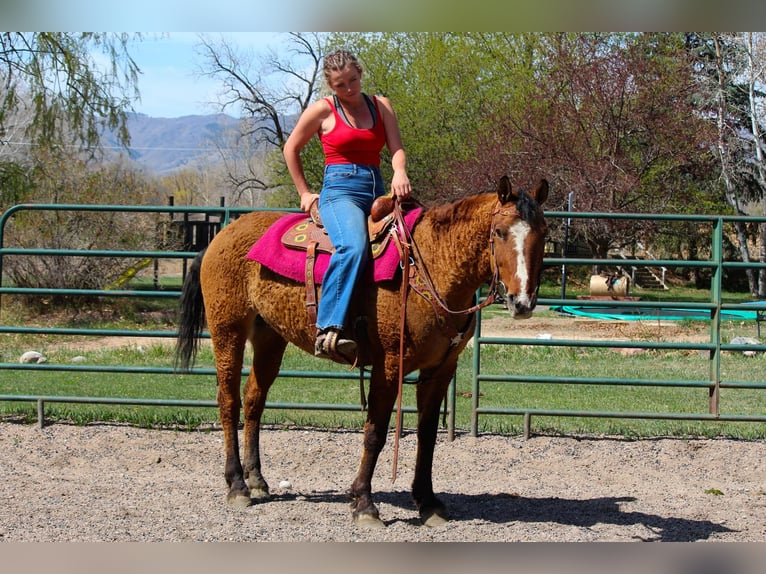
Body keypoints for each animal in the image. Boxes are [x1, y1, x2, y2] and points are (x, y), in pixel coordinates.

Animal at [175, 175, 549, 528]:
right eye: (499, 232)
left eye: (543, 233)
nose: (522, 303)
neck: (432, 263)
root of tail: (220, 236)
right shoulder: (389, 365)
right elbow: (375, 434)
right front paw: (365, 504)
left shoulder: (440, 370)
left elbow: (427, 435)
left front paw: (427, 502)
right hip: (228, 331)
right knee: (229, 401)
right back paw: (237, 485)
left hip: (270, 338)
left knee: (254, 400)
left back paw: (257, 480)